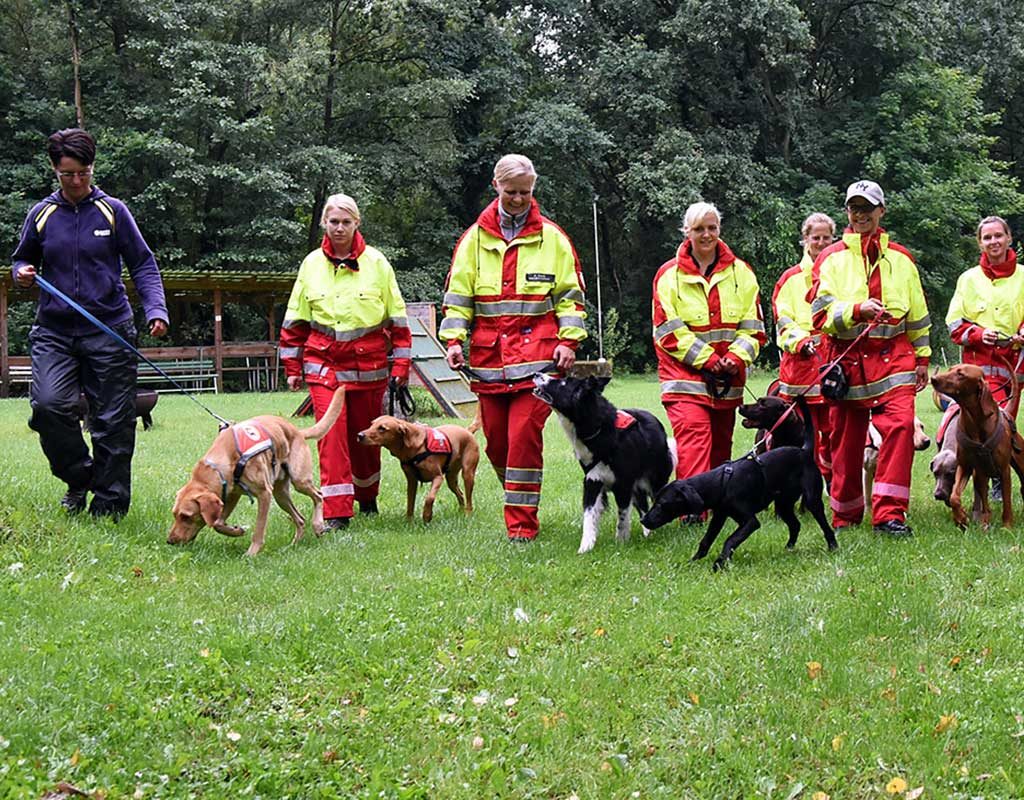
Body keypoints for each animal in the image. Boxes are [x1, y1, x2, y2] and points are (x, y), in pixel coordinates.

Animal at [165, 387, 346, 557]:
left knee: (319, 495)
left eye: (186, 516)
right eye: (174, 514)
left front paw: (252, 553)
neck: (224, 461)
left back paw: (318, 525)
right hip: (281, 495)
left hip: (299, 480)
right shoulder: (232, 494)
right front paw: (236, 530)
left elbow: (258, 529)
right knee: (300, 519)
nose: (170, 541)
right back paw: (294, 544)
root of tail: (297, 431)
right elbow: (217, 523)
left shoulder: (264, 494)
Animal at [532, 372, 675, 549]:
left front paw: (621, 542)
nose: (536, 373)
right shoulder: (592, 480)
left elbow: (622, 517)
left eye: (562, 382)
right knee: (643, 506)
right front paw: (586, 546)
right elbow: (589, 516)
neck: (597, 428)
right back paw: (647, 533)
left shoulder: (623, 483)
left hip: (655, 480)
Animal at [643, 395, 835, 569]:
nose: (644, 520)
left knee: (825, 527)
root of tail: (804, 450)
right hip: (783, 504)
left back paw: (833, 547)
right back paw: (788, 548)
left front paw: (719, 563)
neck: (722, 482)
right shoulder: (719, 517)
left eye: (661, 504)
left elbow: (730, 540)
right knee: (795, 525)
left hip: (811, 500)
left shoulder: (750, 522)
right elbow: (706, 540)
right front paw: (694, 560)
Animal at [929, 362, 1024, 528]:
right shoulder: (966, 467)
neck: (975, 422)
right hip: (981, 472)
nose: (938, 494)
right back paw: (984, 520)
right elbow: (955, 497)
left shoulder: (1003, 470)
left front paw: (1007, 526)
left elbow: (1007, 502)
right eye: (935, 473)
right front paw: (961, 518)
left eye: (961, 374)